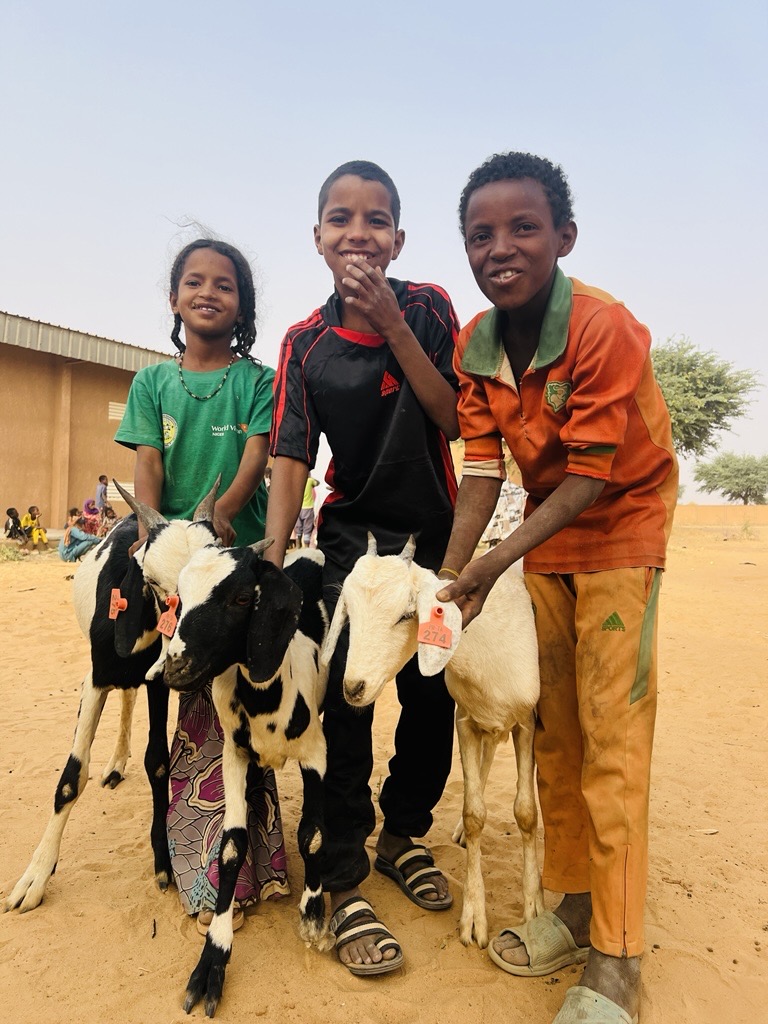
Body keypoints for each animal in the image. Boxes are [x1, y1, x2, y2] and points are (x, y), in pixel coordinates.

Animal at [6, 479, 221, 913]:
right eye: (152, 581)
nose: (190, 660)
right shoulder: (95, 678)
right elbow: (72, 776)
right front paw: (36, 875)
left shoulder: (158, 683)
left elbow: (158, 763)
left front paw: (162, 862)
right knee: (124, 697)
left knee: (129, 698)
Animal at [163, 544, 329, 1015]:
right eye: (178, 595)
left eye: (241, 599)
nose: (175, 669)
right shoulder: (233, 756)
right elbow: (232, 847)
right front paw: (212, 960)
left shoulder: (316, 754)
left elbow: (312, 834)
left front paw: (313, 913)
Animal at [325, 532, 548, 946]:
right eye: (349, 611)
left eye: (406, 614)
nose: (353, 688)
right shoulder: (465, 720)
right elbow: (475, 813)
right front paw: (474, 918)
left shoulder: (527, 721)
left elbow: (526, 813)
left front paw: (534, 906)